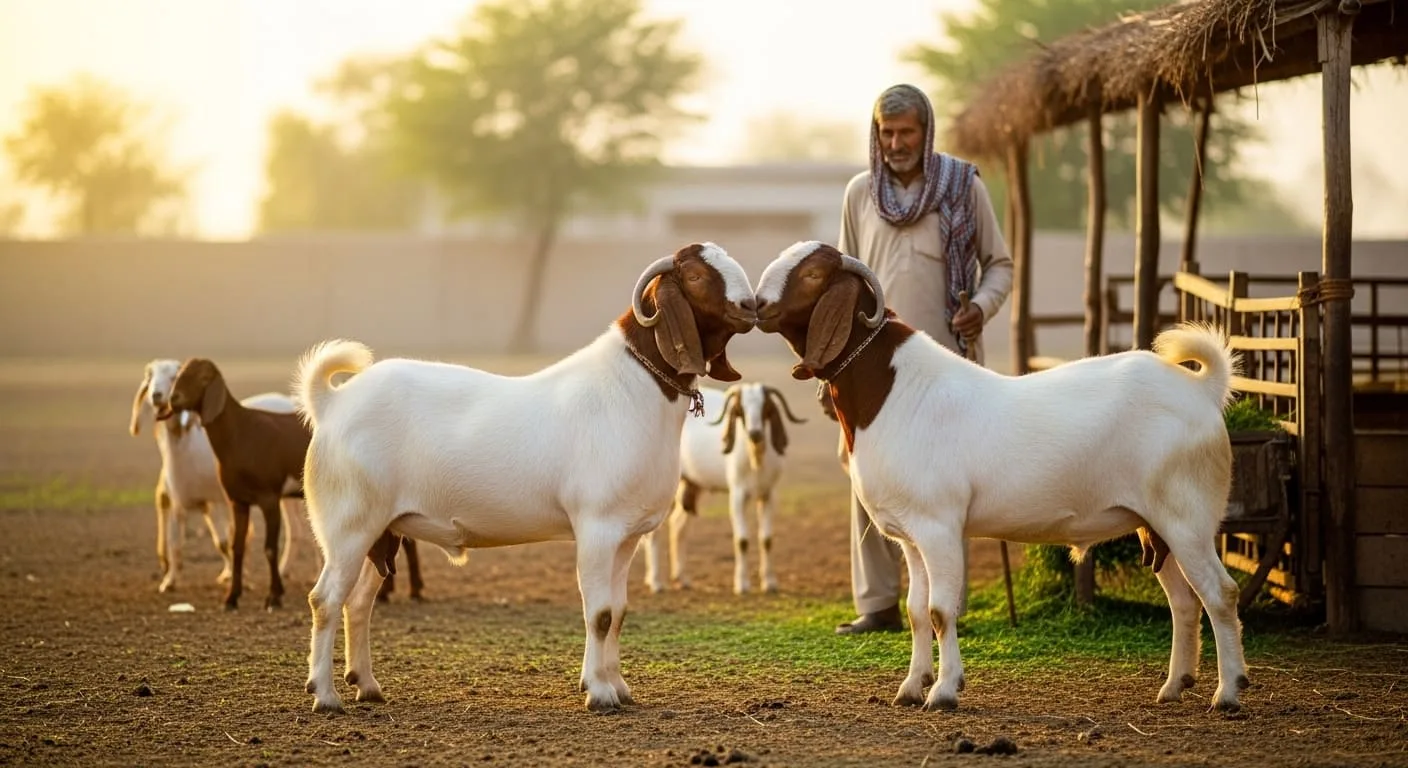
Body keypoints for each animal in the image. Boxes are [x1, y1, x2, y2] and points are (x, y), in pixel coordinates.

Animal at [130, 358, 305, 592]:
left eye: (173, 377)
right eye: (150, 378)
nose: (157, 396)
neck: (185, 446)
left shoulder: (218, 500)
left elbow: (225, 542)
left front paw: (239, 577)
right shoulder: (181, 501)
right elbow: (176, 543)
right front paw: (169, 581)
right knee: (297, 529)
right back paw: (285, 570)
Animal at [292, 242, 756, 714]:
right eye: (695, 276)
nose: (750, 306)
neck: (634, 388)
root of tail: (333, 403)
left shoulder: (627, 536)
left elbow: (619, 612)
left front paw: (619, 686)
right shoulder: (597, 528)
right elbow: (599, 613)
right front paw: (598, 692)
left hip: (383, 530)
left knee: (358, 603)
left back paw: (366, 685)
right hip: (348, 525)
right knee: (325, 599)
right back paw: (325, 695)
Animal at [642, 382, 807, 595]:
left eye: (765, 407)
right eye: (741, 410)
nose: (755, 433)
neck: (755, 460)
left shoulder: (768, 494)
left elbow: (767, 539)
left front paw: (770, 583)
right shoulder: (737, 494)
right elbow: (742, 540)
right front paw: (742, 585)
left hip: (693, 485)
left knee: (679, 525)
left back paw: (682, 578)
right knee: (654, 532)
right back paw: (656, 583)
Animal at [753, 241, 1249, 713]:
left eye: (814, 273)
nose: (757, 304)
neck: (894, 392)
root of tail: (1201, 390)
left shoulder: (939, 527)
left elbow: (940, 611)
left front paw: (945, 691)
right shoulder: (910, 536)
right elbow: (915, 612)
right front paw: (911, 687)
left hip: (1188, 518)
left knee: (1220, 593)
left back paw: (1228, 693)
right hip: (1155, 526)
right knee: (1184, 601)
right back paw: (1174, 686)